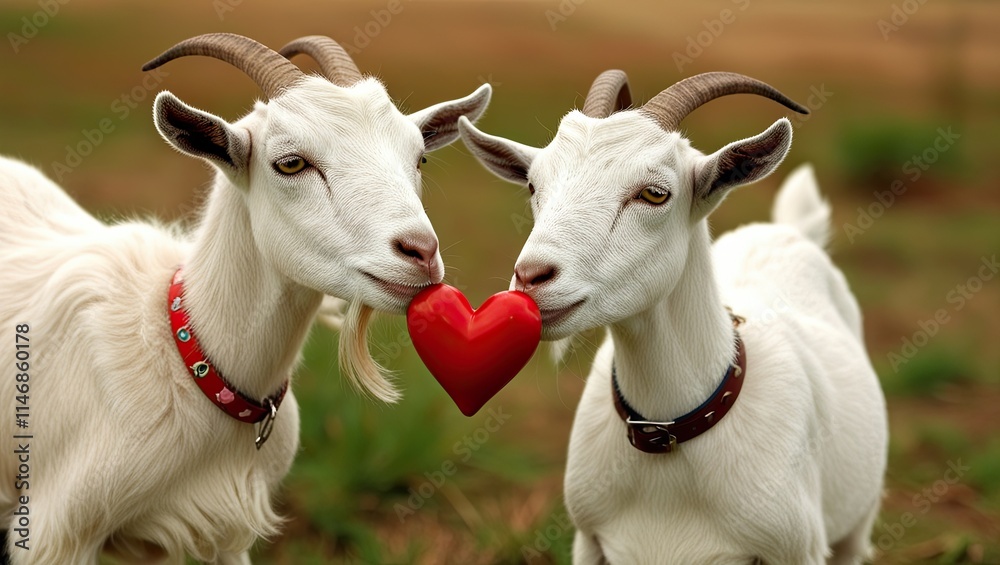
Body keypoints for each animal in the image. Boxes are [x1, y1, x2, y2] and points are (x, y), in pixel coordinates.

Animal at [0, 33, 490, 564]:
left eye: (419, 158)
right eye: (291, 163)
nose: (420, 252)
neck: (187, 355)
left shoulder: (224, 534)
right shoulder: (57, 531)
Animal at [459, 71, 887, 564]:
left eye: (655, 194)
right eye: (533, 186)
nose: (531, 277)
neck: (671, 429)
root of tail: (789, 231)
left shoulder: (795, 549)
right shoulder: (589, 539)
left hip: (856, 523)